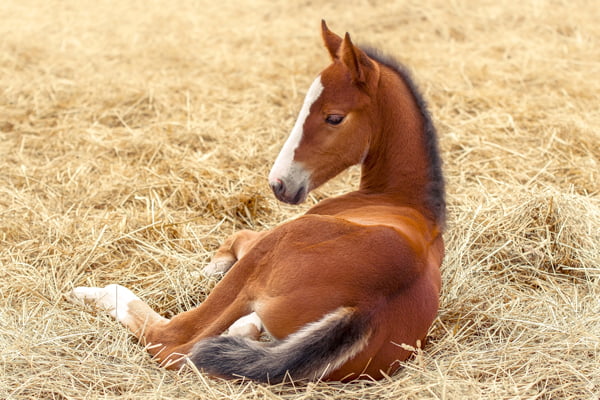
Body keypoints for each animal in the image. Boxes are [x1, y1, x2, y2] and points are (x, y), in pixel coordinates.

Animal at [71, 21, 446, 382]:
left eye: (334, 117)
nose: (279, 184)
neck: (398, 199)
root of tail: (365, 308)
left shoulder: (262, 240)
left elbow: (235, 238)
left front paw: (204, 270)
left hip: (269, 253)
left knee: (172, 340)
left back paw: (94, 293)